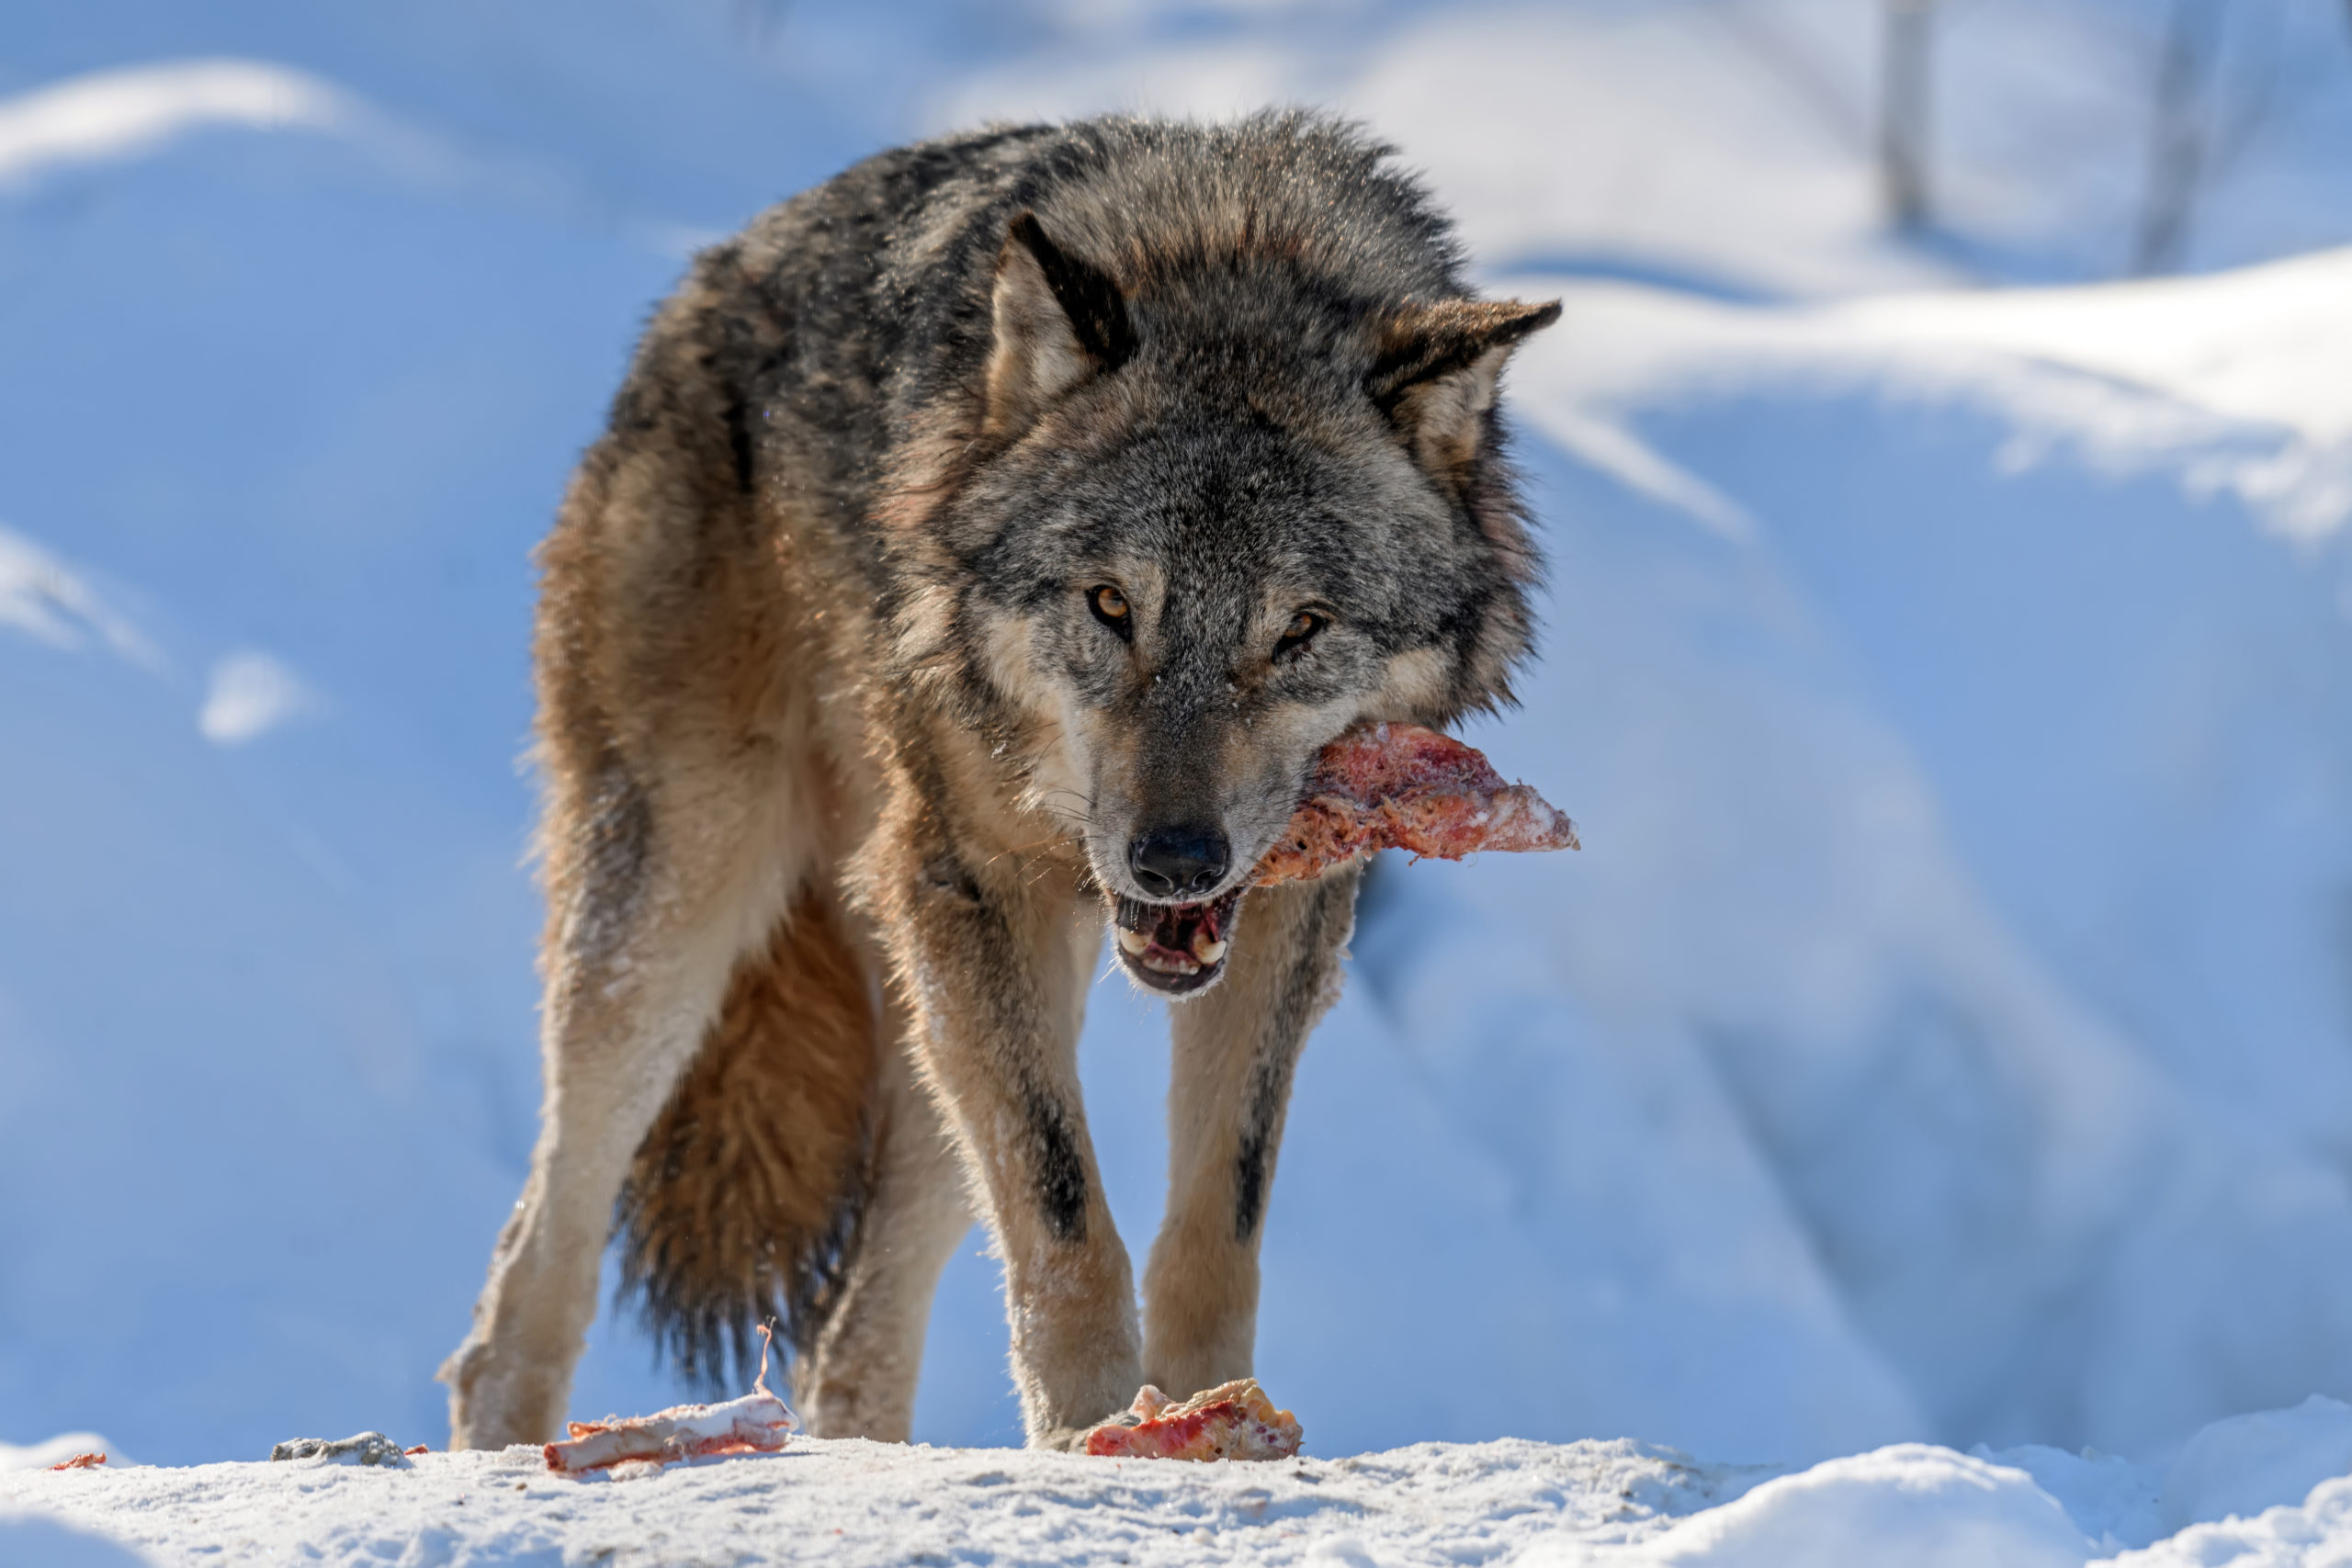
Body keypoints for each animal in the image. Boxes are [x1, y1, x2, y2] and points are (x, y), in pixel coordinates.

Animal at [442, 110, 1561, 1457]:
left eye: (1299, 629)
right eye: (1111, 604)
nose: (1173, 860)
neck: (1241, 252)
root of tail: (697, 295)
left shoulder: (1290, 910)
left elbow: (1216, 1220)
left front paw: (1207, 1420)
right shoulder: (966, 880)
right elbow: (1067, 1216)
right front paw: (1094, 1437)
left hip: (947, 1025)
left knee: (848, 1339)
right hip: (686, 913)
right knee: (532, 1266)